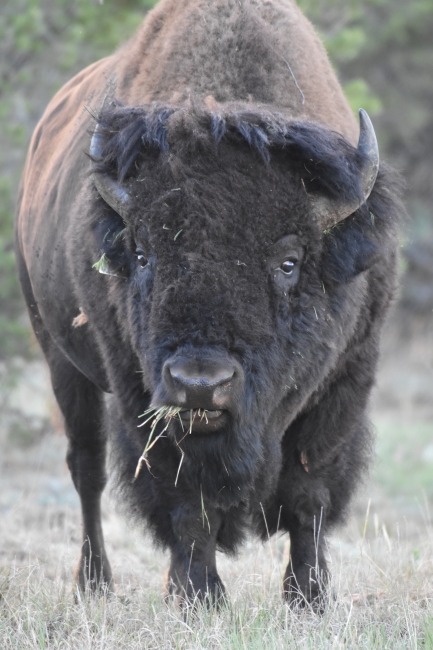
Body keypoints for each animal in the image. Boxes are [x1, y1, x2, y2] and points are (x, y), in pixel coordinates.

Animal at [15, 0, 403, 608]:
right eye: (142, 254)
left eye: (289, 261)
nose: (200, 383)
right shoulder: (141, 394)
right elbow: (185, 500)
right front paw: (197, 595)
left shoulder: (345, 382)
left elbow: (309, 492)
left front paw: (309, 597)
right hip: (59, 357)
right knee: (86, 469)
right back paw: (94, 583)